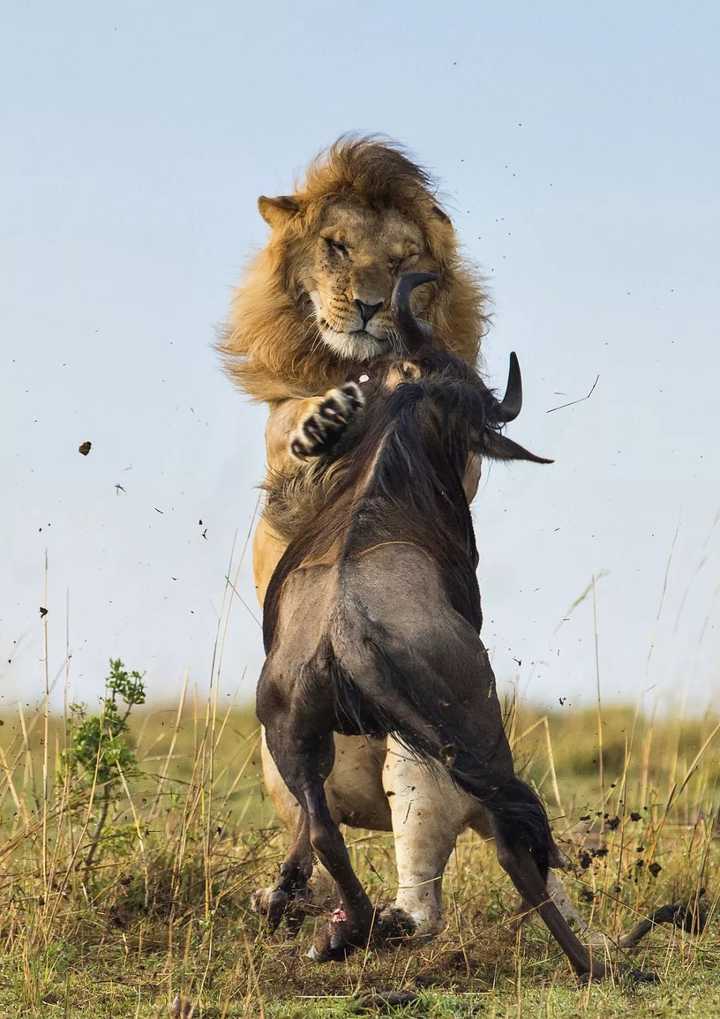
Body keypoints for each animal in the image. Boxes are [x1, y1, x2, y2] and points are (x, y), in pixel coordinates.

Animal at [220, 139, 598, 941]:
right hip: (468, 732)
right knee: (506, 846)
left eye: (402, 259)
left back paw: (333, 922)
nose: (369, 305)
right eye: (334, 246)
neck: (388, 470)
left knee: (330, 832)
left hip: (302, 739)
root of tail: (344, 639)